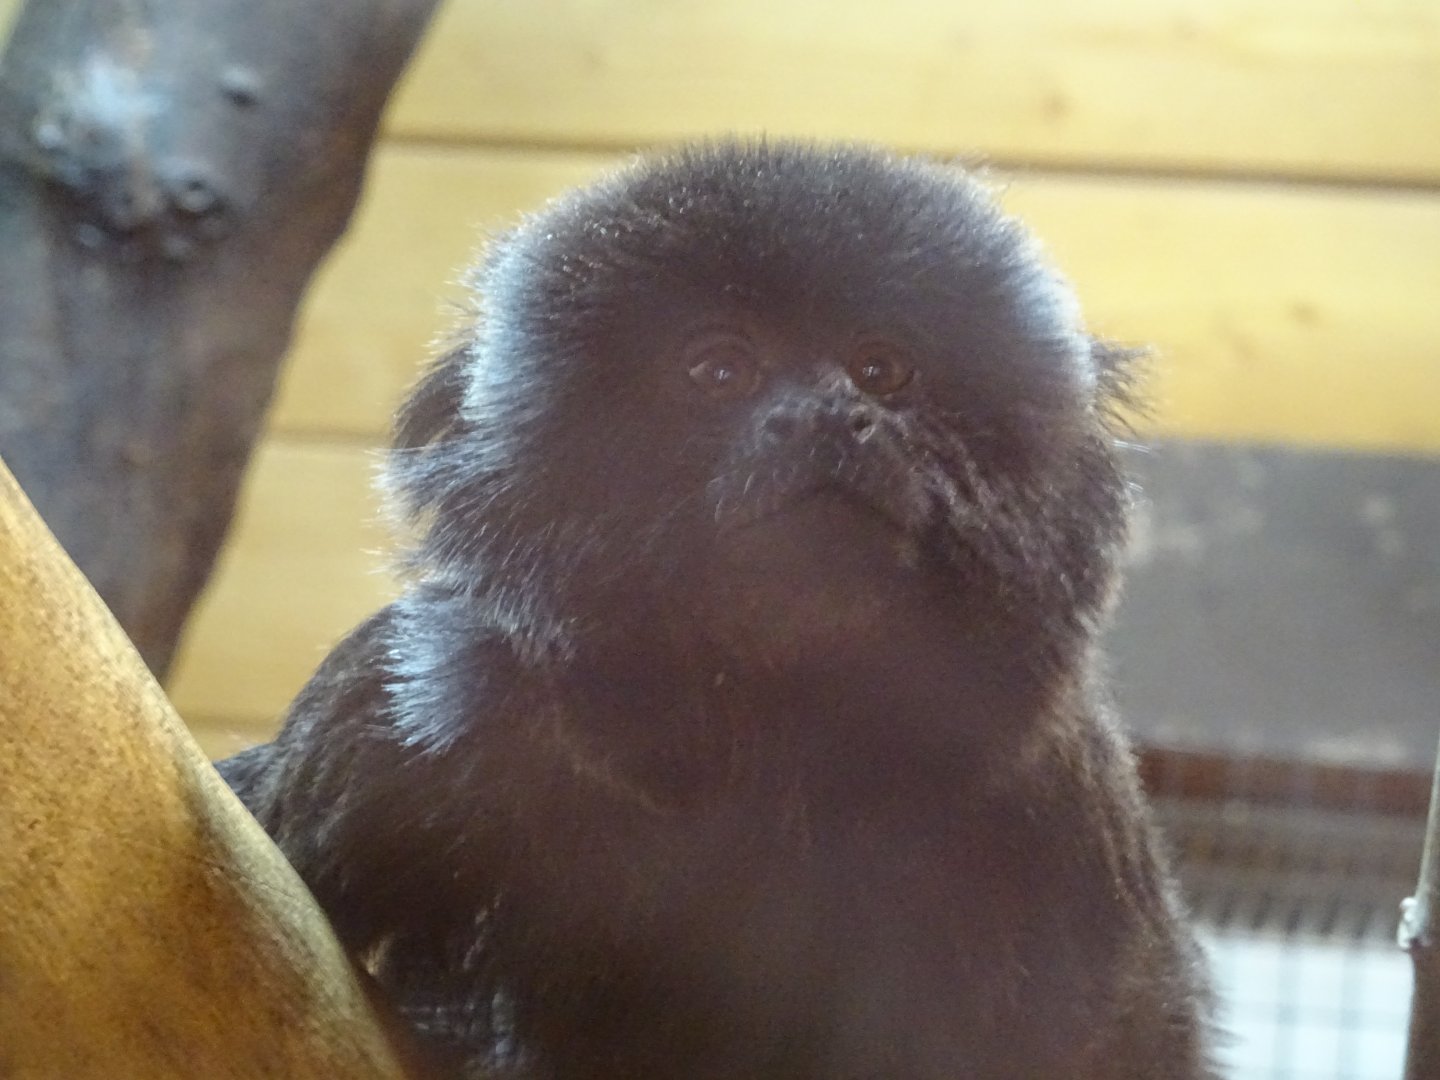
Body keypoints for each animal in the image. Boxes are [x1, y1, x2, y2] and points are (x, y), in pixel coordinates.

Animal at [219, 139, 1217, 1079]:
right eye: (720, 370)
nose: (829, 415)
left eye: (880, 369)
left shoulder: (1061, 805)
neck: (774, 747)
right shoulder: (403, 707)